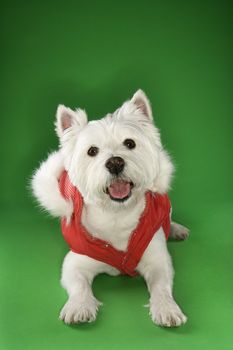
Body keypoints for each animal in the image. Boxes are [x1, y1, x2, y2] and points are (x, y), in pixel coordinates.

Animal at [31, 89, 189, 326]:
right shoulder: (75, 263)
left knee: (168, 219)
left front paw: (166, 308)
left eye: (130, 143)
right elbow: (79, 286)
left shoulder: (158, 260)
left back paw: (177, 230)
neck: (117, 215)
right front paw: (79, 306)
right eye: (92, 151)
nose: (115, 162)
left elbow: (161, 286)